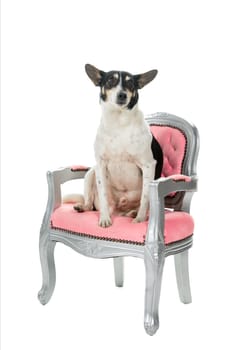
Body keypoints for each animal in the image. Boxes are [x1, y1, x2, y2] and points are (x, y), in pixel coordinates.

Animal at [66, 64, 163, 228]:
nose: (122, 95)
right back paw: (83, 207)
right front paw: (104, 219)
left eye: (130, 83)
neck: (119, 122)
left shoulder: (148, 165)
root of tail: (119, 211)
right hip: (90, 173)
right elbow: (103, 195)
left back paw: (133, 213)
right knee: (90, 203)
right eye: (110, 81)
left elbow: (145, 198)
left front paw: (139, 219)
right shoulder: (100, 164)